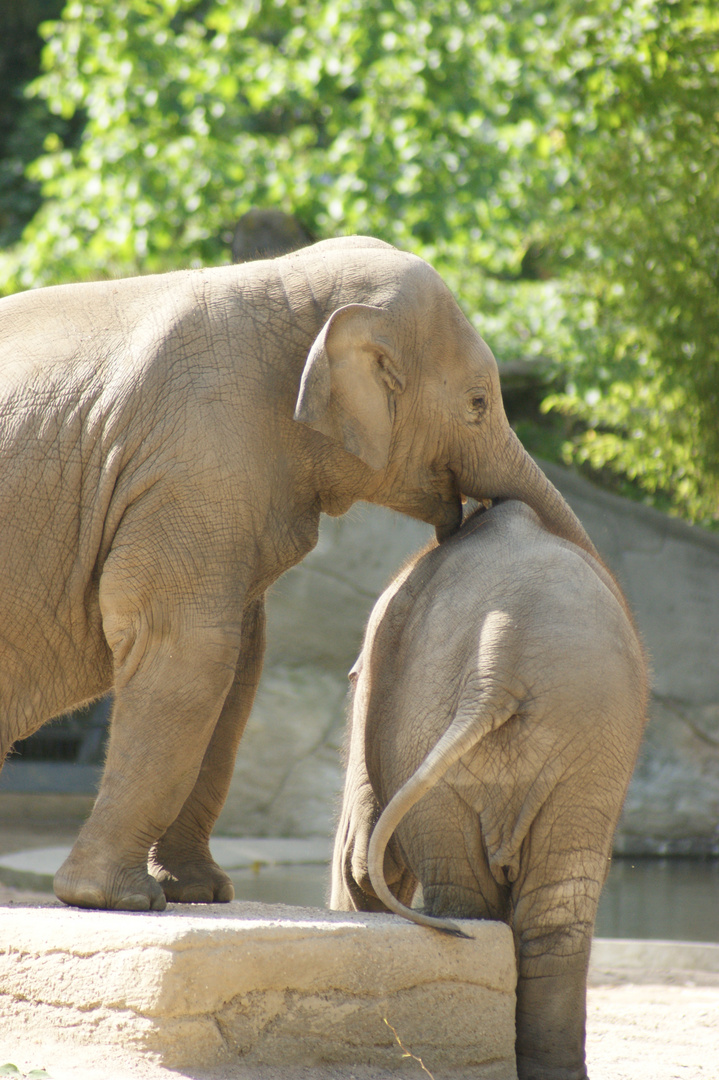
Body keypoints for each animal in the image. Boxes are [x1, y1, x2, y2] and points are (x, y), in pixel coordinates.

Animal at [0, 234, 591, 911]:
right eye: (478, 404)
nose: (485, 515)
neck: (290, 285)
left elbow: (239, 666)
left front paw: (200, 893)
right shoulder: (195, 461)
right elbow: (189, 650)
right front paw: (118, 899)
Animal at [330, 496, 643, 1080]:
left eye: (353, 678)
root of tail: (498, 664)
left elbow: (359, 868)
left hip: (473, 731)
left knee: (469, 896)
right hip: (589, 742)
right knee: (555, 916)